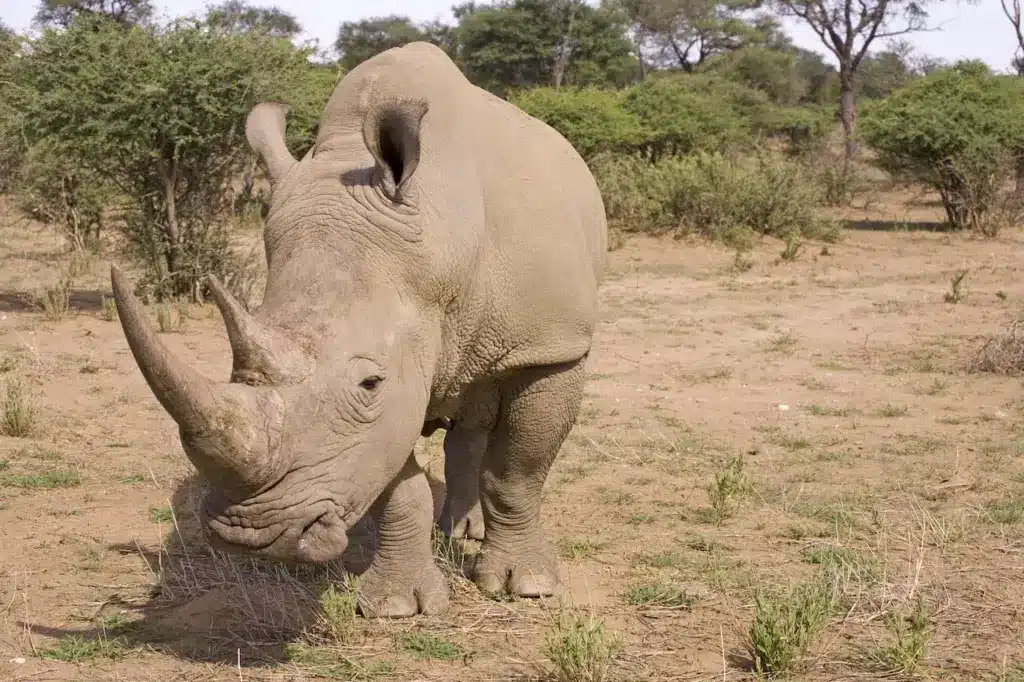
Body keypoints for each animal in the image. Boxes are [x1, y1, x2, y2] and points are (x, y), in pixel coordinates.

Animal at [110, 41, 606, 614]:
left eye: (369, 383)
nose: (251, 535)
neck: (439, 239)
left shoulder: (552, 345)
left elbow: (518, 471)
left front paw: (524, 585)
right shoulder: (392, 380)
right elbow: (393, 482)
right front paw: (395, 605)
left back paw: (468, 536)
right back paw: (454, 532)